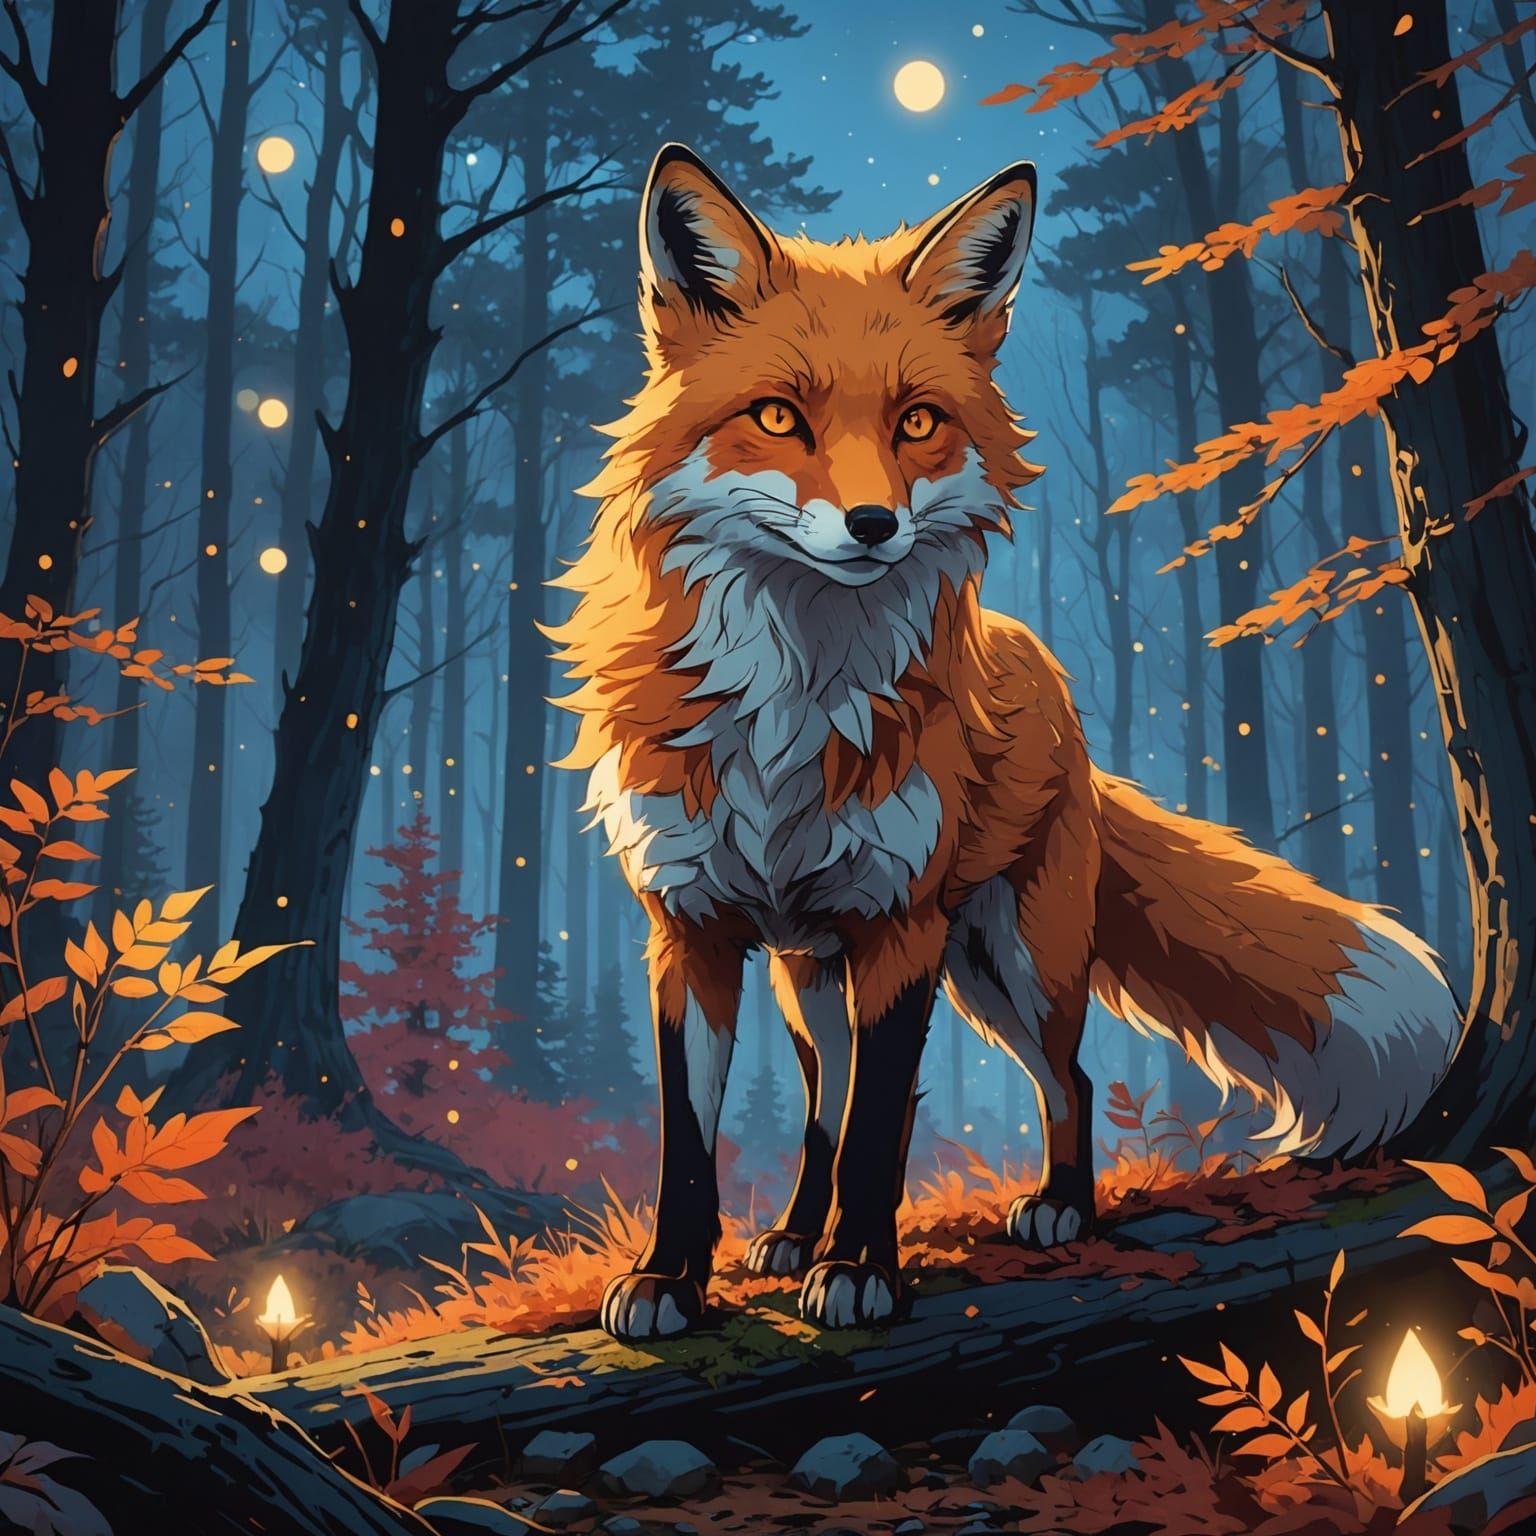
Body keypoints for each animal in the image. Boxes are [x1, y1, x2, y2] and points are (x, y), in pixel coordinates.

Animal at [549, 143, 1466, 1342]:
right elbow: (695, 1142)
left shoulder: (900, 926)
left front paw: (860, 1272)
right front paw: (671, 1280)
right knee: (827, 1101)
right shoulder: (688, 929)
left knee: (1055, 1082)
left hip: (1009, 960)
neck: (794, 697)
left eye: (918, 424)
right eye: (781, 417)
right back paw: (793, 1232)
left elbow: (882, 1132)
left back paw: (1057, 1207)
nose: (875, 526)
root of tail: (1046, 670)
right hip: (817, 976)